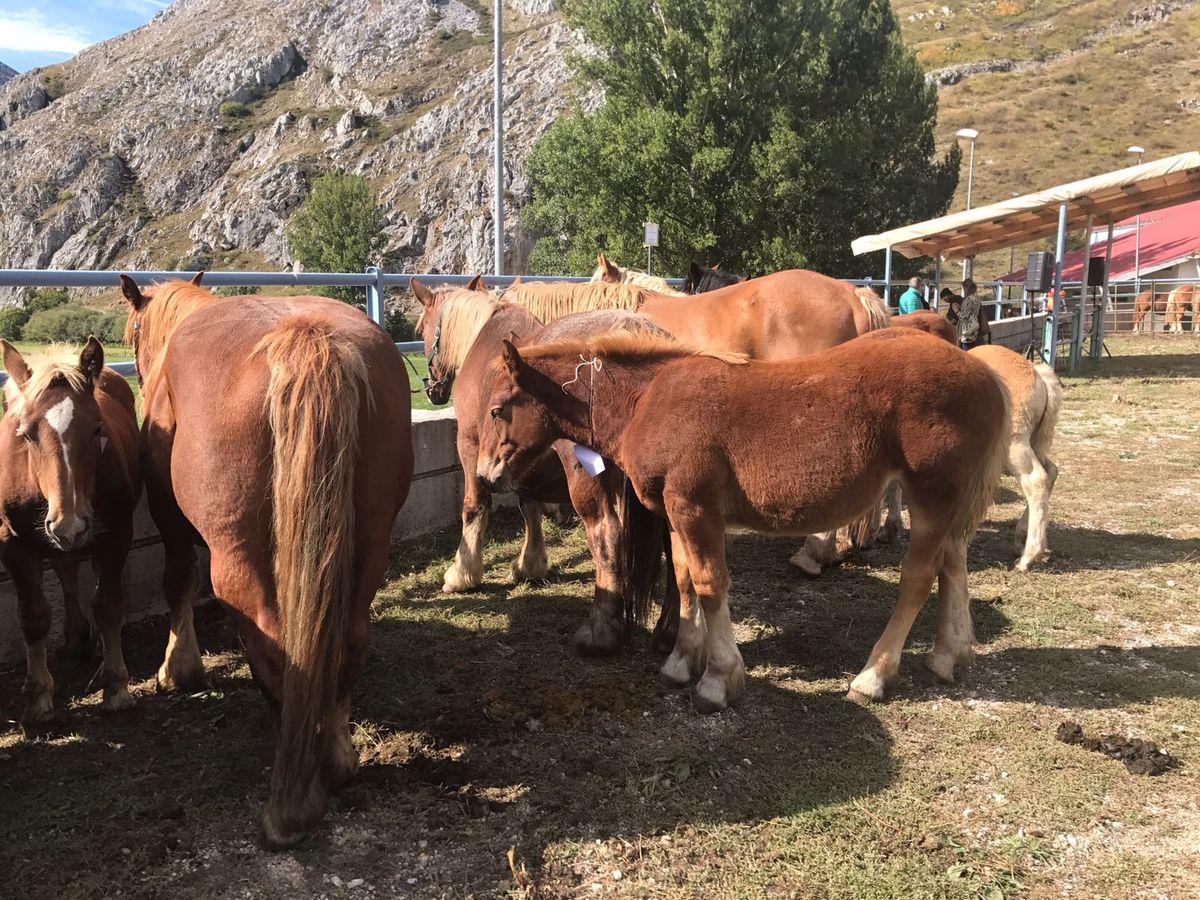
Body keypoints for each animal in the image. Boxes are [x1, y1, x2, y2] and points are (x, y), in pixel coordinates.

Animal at [1, 340, 140, 724]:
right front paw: (39, 698)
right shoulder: (13, 546)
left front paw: (115, 687)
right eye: (27, 433)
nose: (70, 524)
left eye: (97, 429)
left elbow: (108, 605)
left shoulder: (116, 534)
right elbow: (33, 616)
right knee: (66, 570)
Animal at [121, 273, 412, 844]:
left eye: (133, 329)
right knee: (350, 639)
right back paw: (337, 760)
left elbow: (177, 581)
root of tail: (307, 337)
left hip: (237, 560)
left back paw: (291, 801)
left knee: (276, 652)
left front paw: (178, 669)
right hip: (370, 543)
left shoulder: (166, 514)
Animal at [477, 328, 1012, 710]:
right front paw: (679, 663)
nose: (485, 476)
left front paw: (717, 680)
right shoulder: (674, 513)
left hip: (932, 493)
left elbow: (710, 584)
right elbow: (685, 581)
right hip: (948, 500)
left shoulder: (695, 508)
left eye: (498, 409)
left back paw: (873, 675)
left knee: (920, 575)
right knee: (954, 562)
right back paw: (947, 656)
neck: (647, 400)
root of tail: (984, 372)